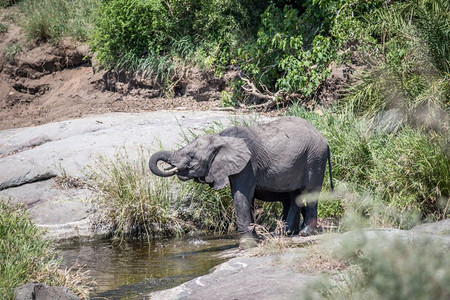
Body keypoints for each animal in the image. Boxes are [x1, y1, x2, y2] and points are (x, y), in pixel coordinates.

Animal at [149, 116, 332, 245]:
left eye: (192, 157)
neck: (222, 138)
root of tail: (324, 139)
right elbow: (246, 197)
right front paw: (256, 238)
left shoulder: (248, 164)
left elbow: (240, 195)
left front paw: (247, 243)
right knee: (295, 195)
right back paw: (285, 233)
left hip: (315, 158)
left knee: (309, 191)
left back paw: (304, 232)